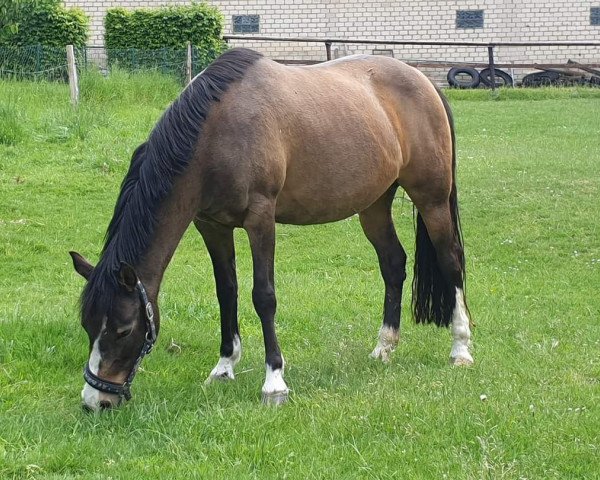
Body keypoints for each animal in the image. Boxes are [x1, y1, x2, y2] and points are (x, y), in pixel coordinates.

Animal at [70, 47, 474, 410]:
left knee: (450, 261)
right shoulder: (211, 226)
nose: (96, 401)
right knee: (393, 264)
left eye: (123, 329)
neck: (217, 132)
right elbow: (226, 292)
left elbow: (263, 296)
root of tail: (424, 82)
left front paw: (274, 382)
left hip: (432, 199)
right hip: (373, 206)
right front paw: (223, 367)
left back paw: (460, 348)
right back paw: (384, 347)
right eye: (87, 325)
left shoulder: (260, 219)